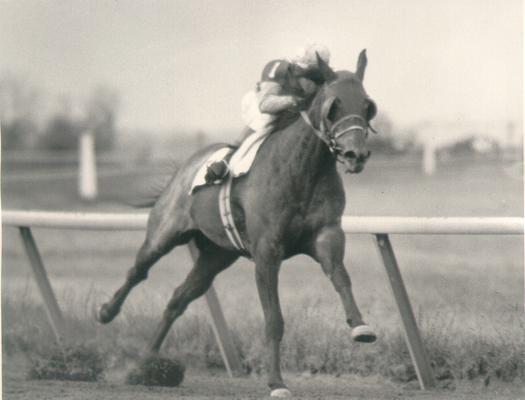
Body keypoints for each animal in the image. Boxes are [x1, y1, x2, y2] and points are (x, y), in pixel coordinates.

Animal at [96, 50, 376, 396]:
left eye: (367, 106)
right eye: (333, 106)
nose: (355, 154)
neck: (302, 170)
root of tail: (185, 167)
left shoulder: (327, 235)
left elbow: (341, 277)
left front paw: (360, 326)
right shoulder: (267, 252)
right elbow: (274, 319)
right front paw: (276, 383)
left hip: (217, 255)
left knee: (179, 298)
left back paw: (148, 363)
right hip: (164, 233)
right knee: (138, 271)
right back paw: (106, 313)